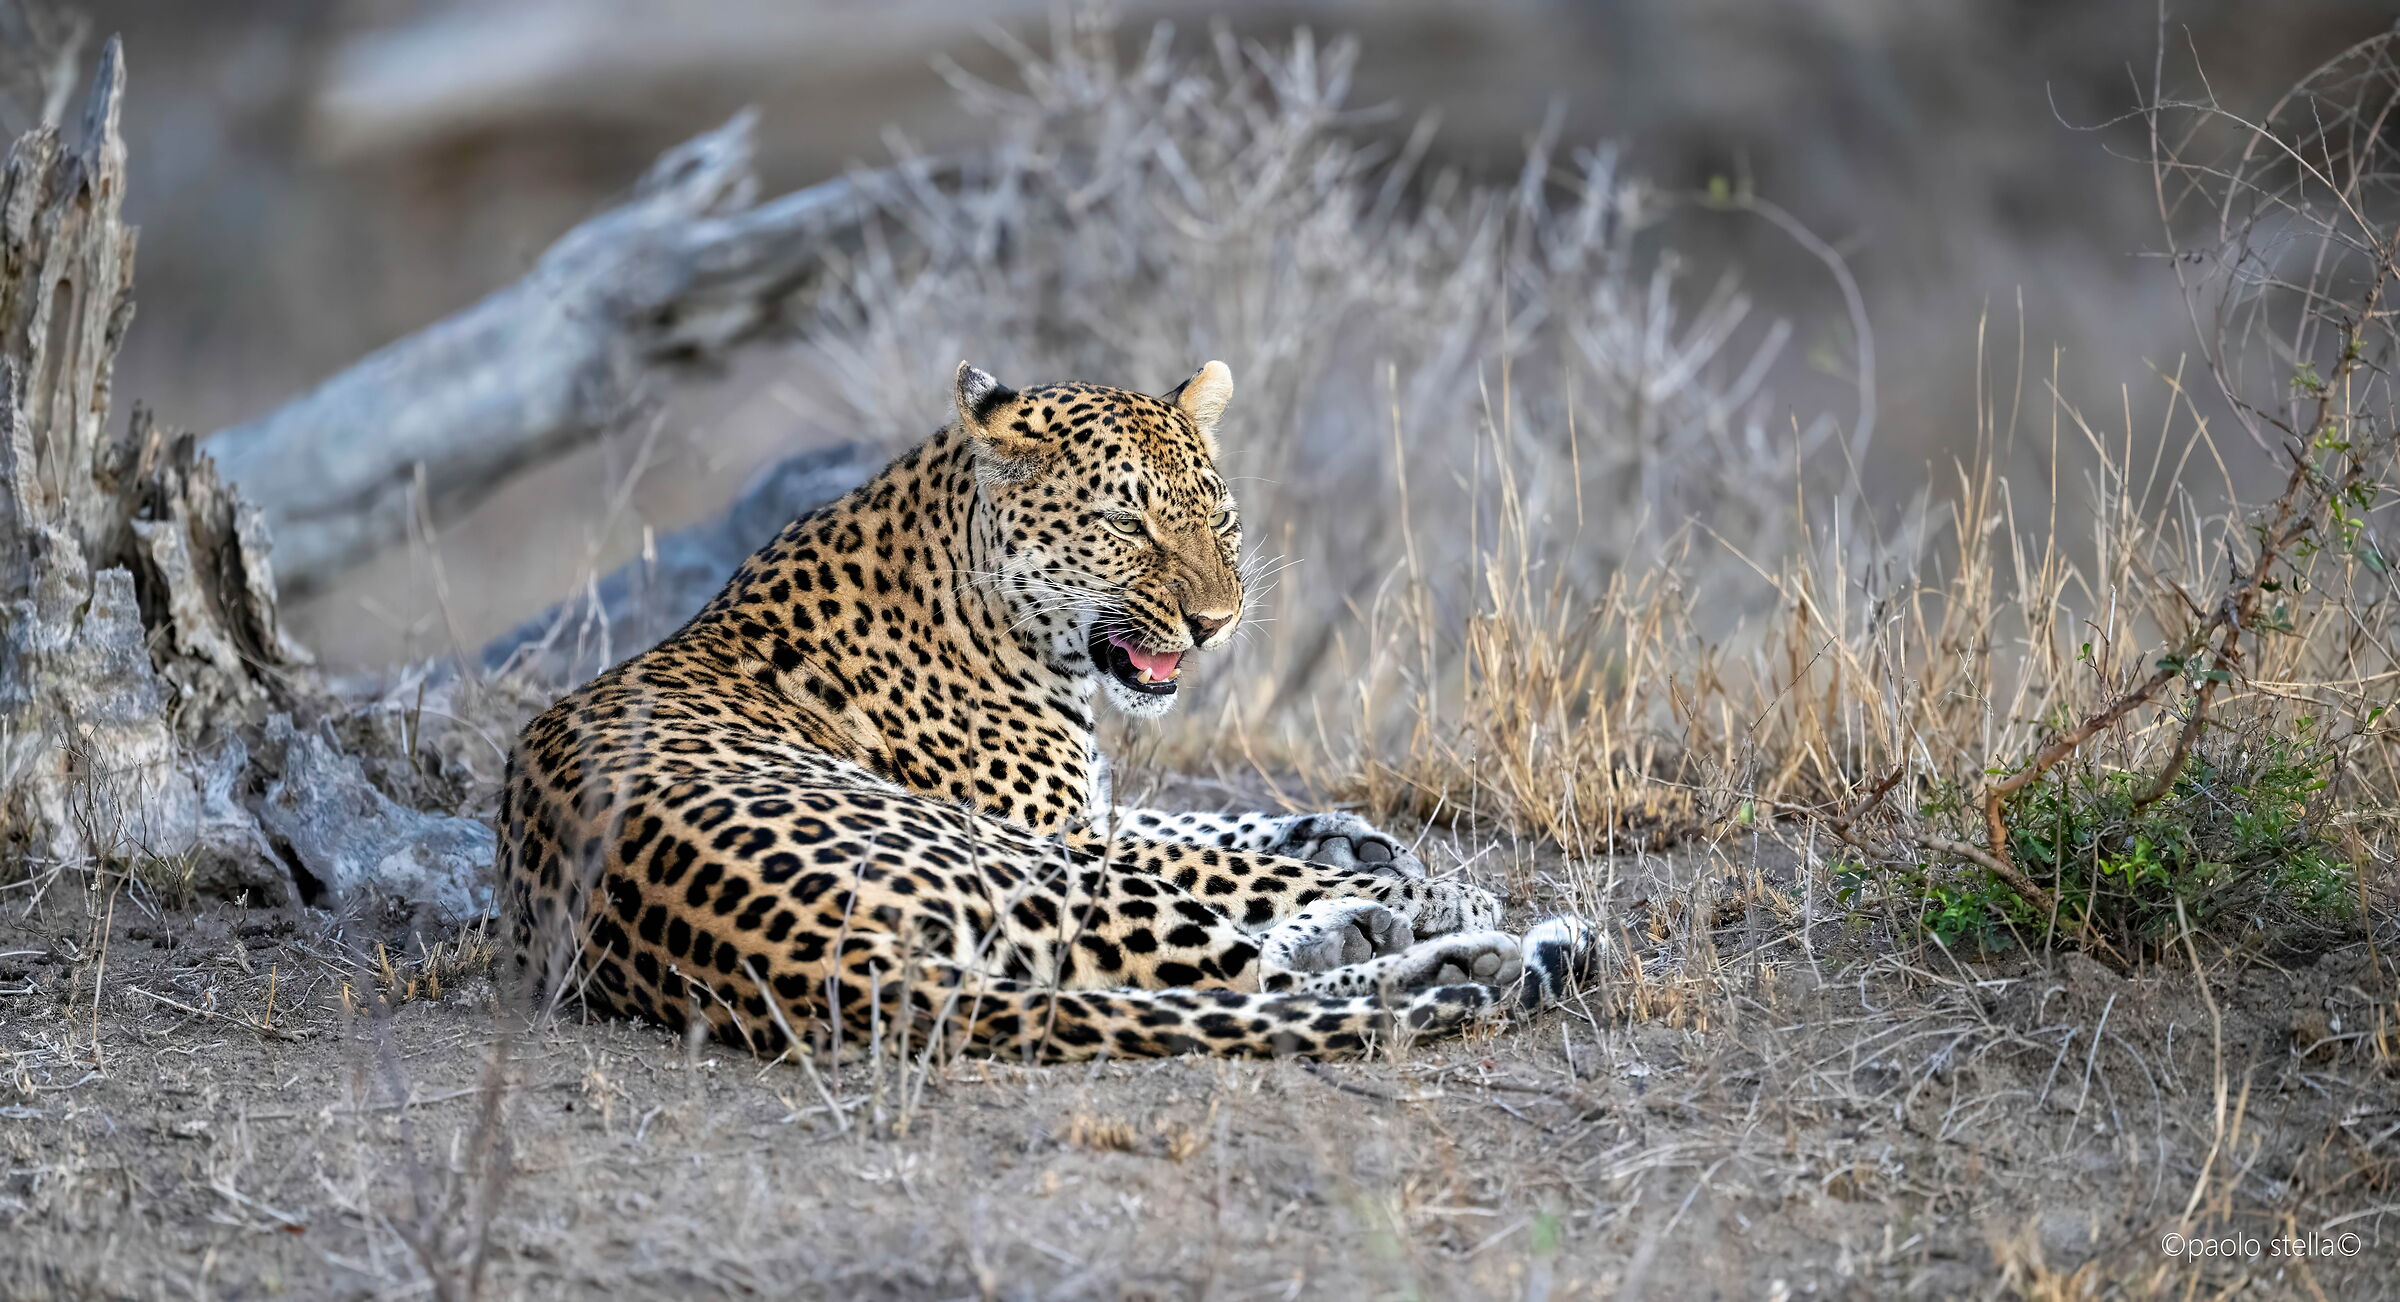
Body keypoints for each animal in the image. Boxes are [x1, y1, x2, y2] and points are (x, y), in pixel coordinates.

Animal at [498, 360, 1604, 1060]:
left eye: (1221, 519)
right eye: (1127, 523)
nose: (1215, 623)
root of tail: (814, 964)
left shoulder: (1085, 808)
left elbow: (1199, 818)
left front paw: (1350, 837)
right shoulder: (1055, 826)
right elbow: (1220, 858)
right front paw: (1434, 889)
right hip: (1019, 865)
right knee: (1237, 978)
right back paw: (1455, 948)